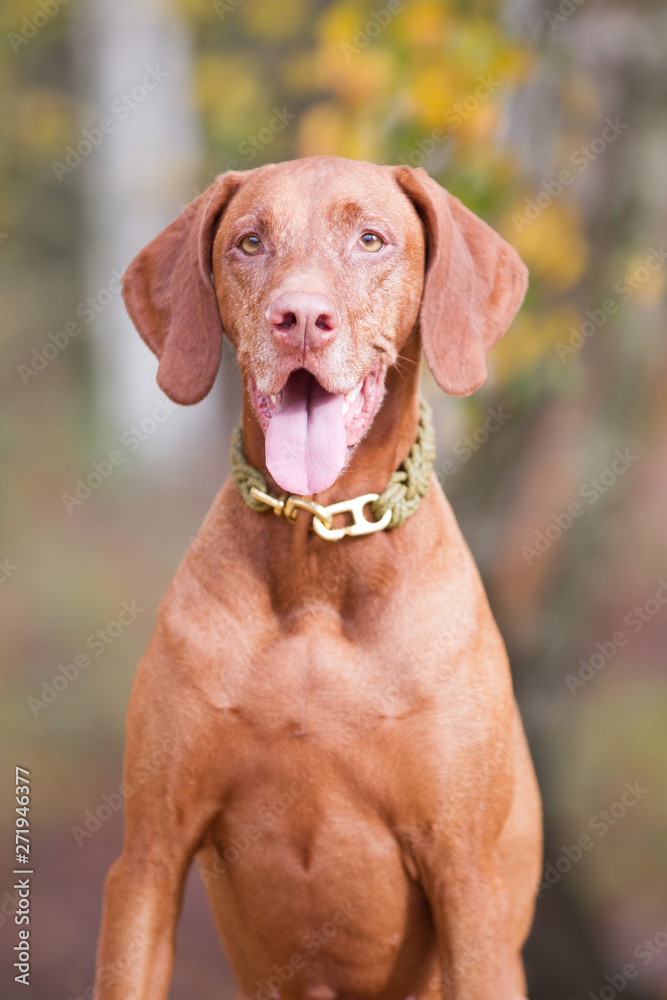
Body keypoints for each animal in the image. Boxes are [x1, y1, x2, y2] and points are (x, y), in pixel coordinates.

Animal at [94, 156, 544, 1000]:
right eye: (249, 242)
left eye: (370, 239)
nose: (300, 319)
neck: (318, 557)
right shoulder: (148, 861)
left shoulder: (467, 880)